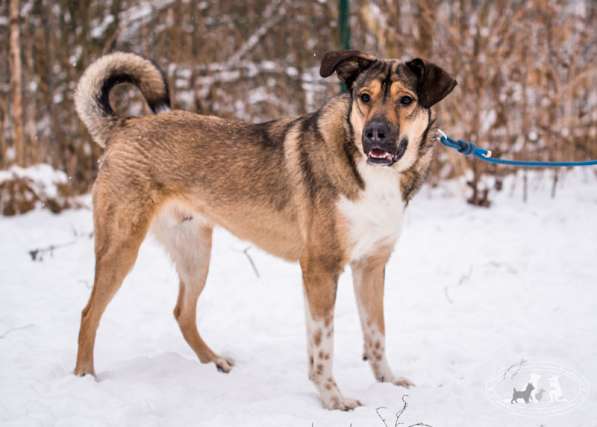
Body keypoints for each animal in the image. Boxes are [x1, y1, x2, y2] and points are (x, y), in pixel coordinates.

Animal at [74, 48, 456, 410]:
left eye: (406, 100)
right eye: (364, 96)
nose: (375, 133)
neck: (371, 172)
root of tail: (125, 124)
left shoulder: (371, 266)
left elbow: (376, 333)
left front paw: (388, 383)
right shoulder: (321, 269)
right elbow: (323, 347)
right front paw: (333, 400)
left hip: (195, 256)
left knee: (182, 312)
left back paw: (214, 361)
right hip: (121, 248)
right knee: (89, 313)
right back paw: (84, 377)